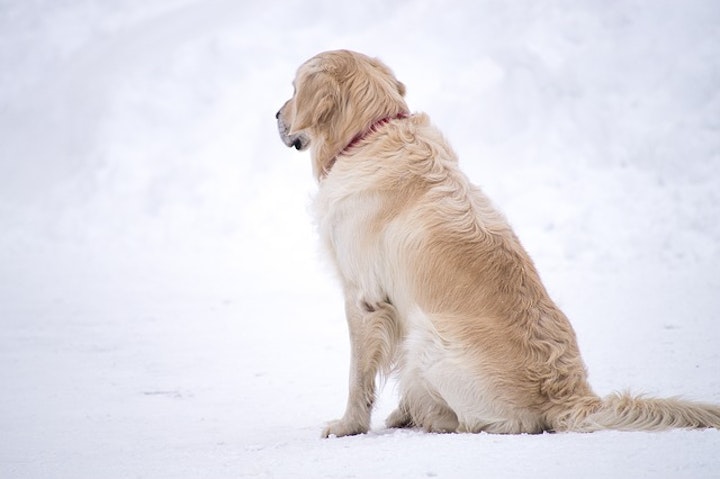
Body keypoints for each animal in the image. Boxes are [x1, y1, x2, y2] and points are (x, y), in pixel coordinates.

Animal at [276, 49, 720, 438]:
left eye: (294, 88)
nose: (277, 115)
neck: (370, 133)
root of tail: (571, 396)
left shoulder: (363, 297)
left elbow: (358, 376)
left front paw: (347, 426)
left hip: (429, 338)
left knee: (481, 422)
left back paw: (424, 415)